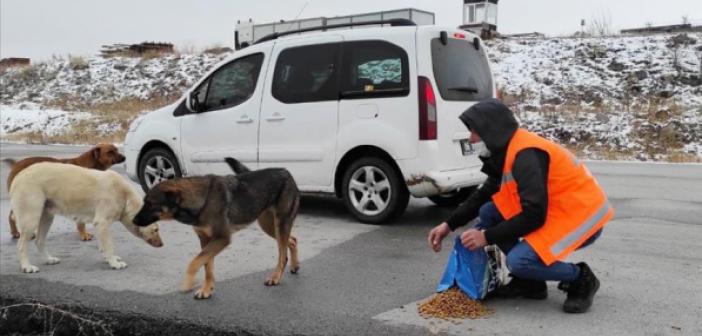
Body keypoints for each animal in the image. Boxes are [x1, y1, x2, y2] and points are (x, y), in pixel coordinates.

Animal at [8, 161, 164, 272]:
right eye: (156, 229)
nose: (162, 245)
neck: (124, 196)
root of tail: (19, 175)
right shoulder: (102, 222)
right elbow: (109, 245)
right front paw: (114, 263)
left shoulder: (101, 225)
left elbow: (103, 245)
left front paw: (109, 258)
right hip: (31, 218)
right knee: (21, 245)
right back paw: (26, 267)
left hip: (46, 216)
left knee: (39, 241)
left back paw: (49, 259)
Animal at [133, 158, 300, 300]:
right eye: (145, 202)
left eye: (150, 204)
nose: (133, 220)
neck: (201, 199)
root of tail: (286, 172)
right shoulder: (206, 240)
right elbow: (207, 266)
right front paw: (207, 290)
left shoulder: (222, 238)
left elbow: (194, 262)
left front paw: (188, 283)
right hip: (269, 226)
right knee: (292, 240)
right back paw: (295, 265)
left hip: (280, 224)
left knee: (282, 254)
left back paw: (276, 277)